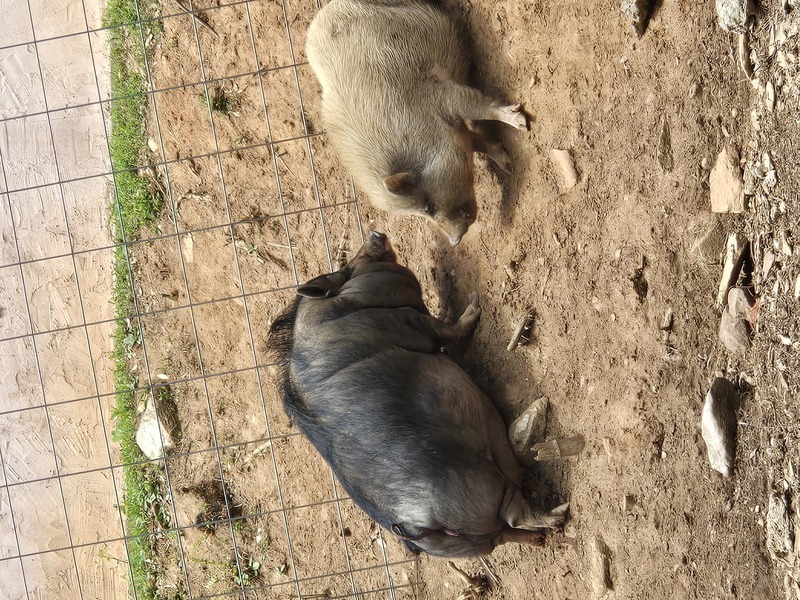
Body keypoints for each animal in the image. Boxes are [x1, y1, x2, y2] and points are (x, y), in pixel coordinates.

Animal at [268, 231, 567, 557]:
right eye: (348, 268)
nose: (375, 233)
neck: (344, 308)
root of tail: (416, 529)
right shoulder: (412, 322)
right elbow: (449, 329)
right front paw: (474, 305)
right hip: (484, 487)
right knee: (515, 515)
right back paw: (560, 513)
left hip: (474, 537)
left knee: (505, 534)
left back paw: (541, 539)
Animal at [305, 0, 528, 245]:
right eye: (421, 212)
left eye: (428, 206)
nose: (454, 240)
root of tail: (329, 7)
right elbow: (479, 143)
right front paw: (508, 165)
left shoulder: (440, 95)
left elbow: (481, 107)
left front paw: (522, 124)